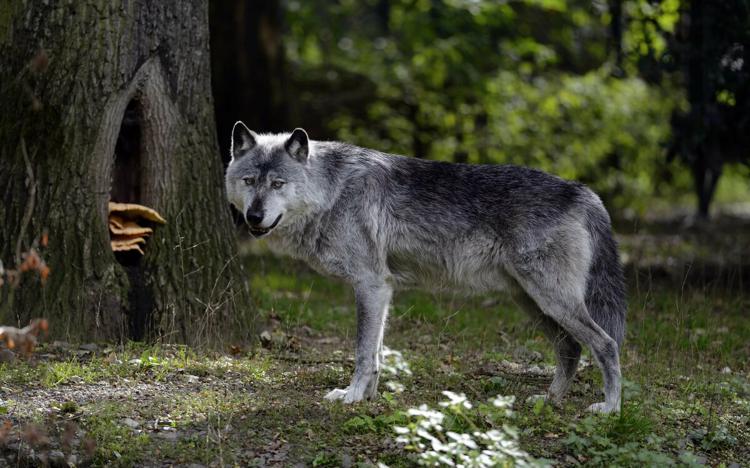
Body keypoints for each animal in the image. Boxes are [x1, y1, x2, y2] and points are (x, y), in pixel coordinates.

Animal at [228, 121, 628, 414]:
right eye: (249, 181)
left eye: (278, 184)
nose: (254, 217)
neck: (333, 191)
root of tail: (583, 192)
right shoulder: (382, 290)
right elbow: (376, 353)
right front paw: (369, 397)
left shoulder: (371, 285)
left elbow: (362, 351)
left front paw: (352, 396)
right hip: (533, 302)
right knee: (570, 349)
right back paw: (550, 400)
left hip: (552, 301)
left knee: (605, 345)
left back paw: (610, 409)